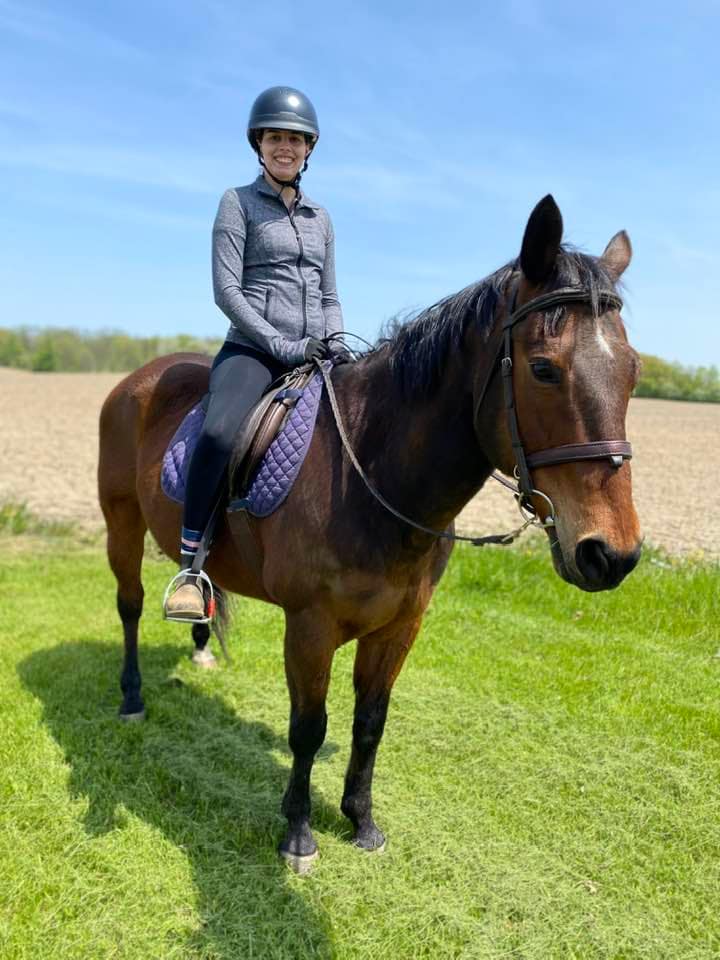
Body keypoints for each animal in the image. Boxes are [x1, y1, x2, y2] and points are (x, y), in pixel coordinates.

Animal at [98, 195, 642, 872]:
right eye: (544, 369)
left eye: (634, 372)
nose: (611, 554)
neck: (371, 475)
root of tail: (142, 377)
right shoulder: (310, 626)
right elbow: (309, 727)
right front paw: (299, 833)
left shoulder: (399, 626)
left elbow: (370, 721)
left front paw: (361, 820)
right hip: (120, 521)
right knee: (129, 605)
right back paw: (131, 698)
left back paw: (199, 643)